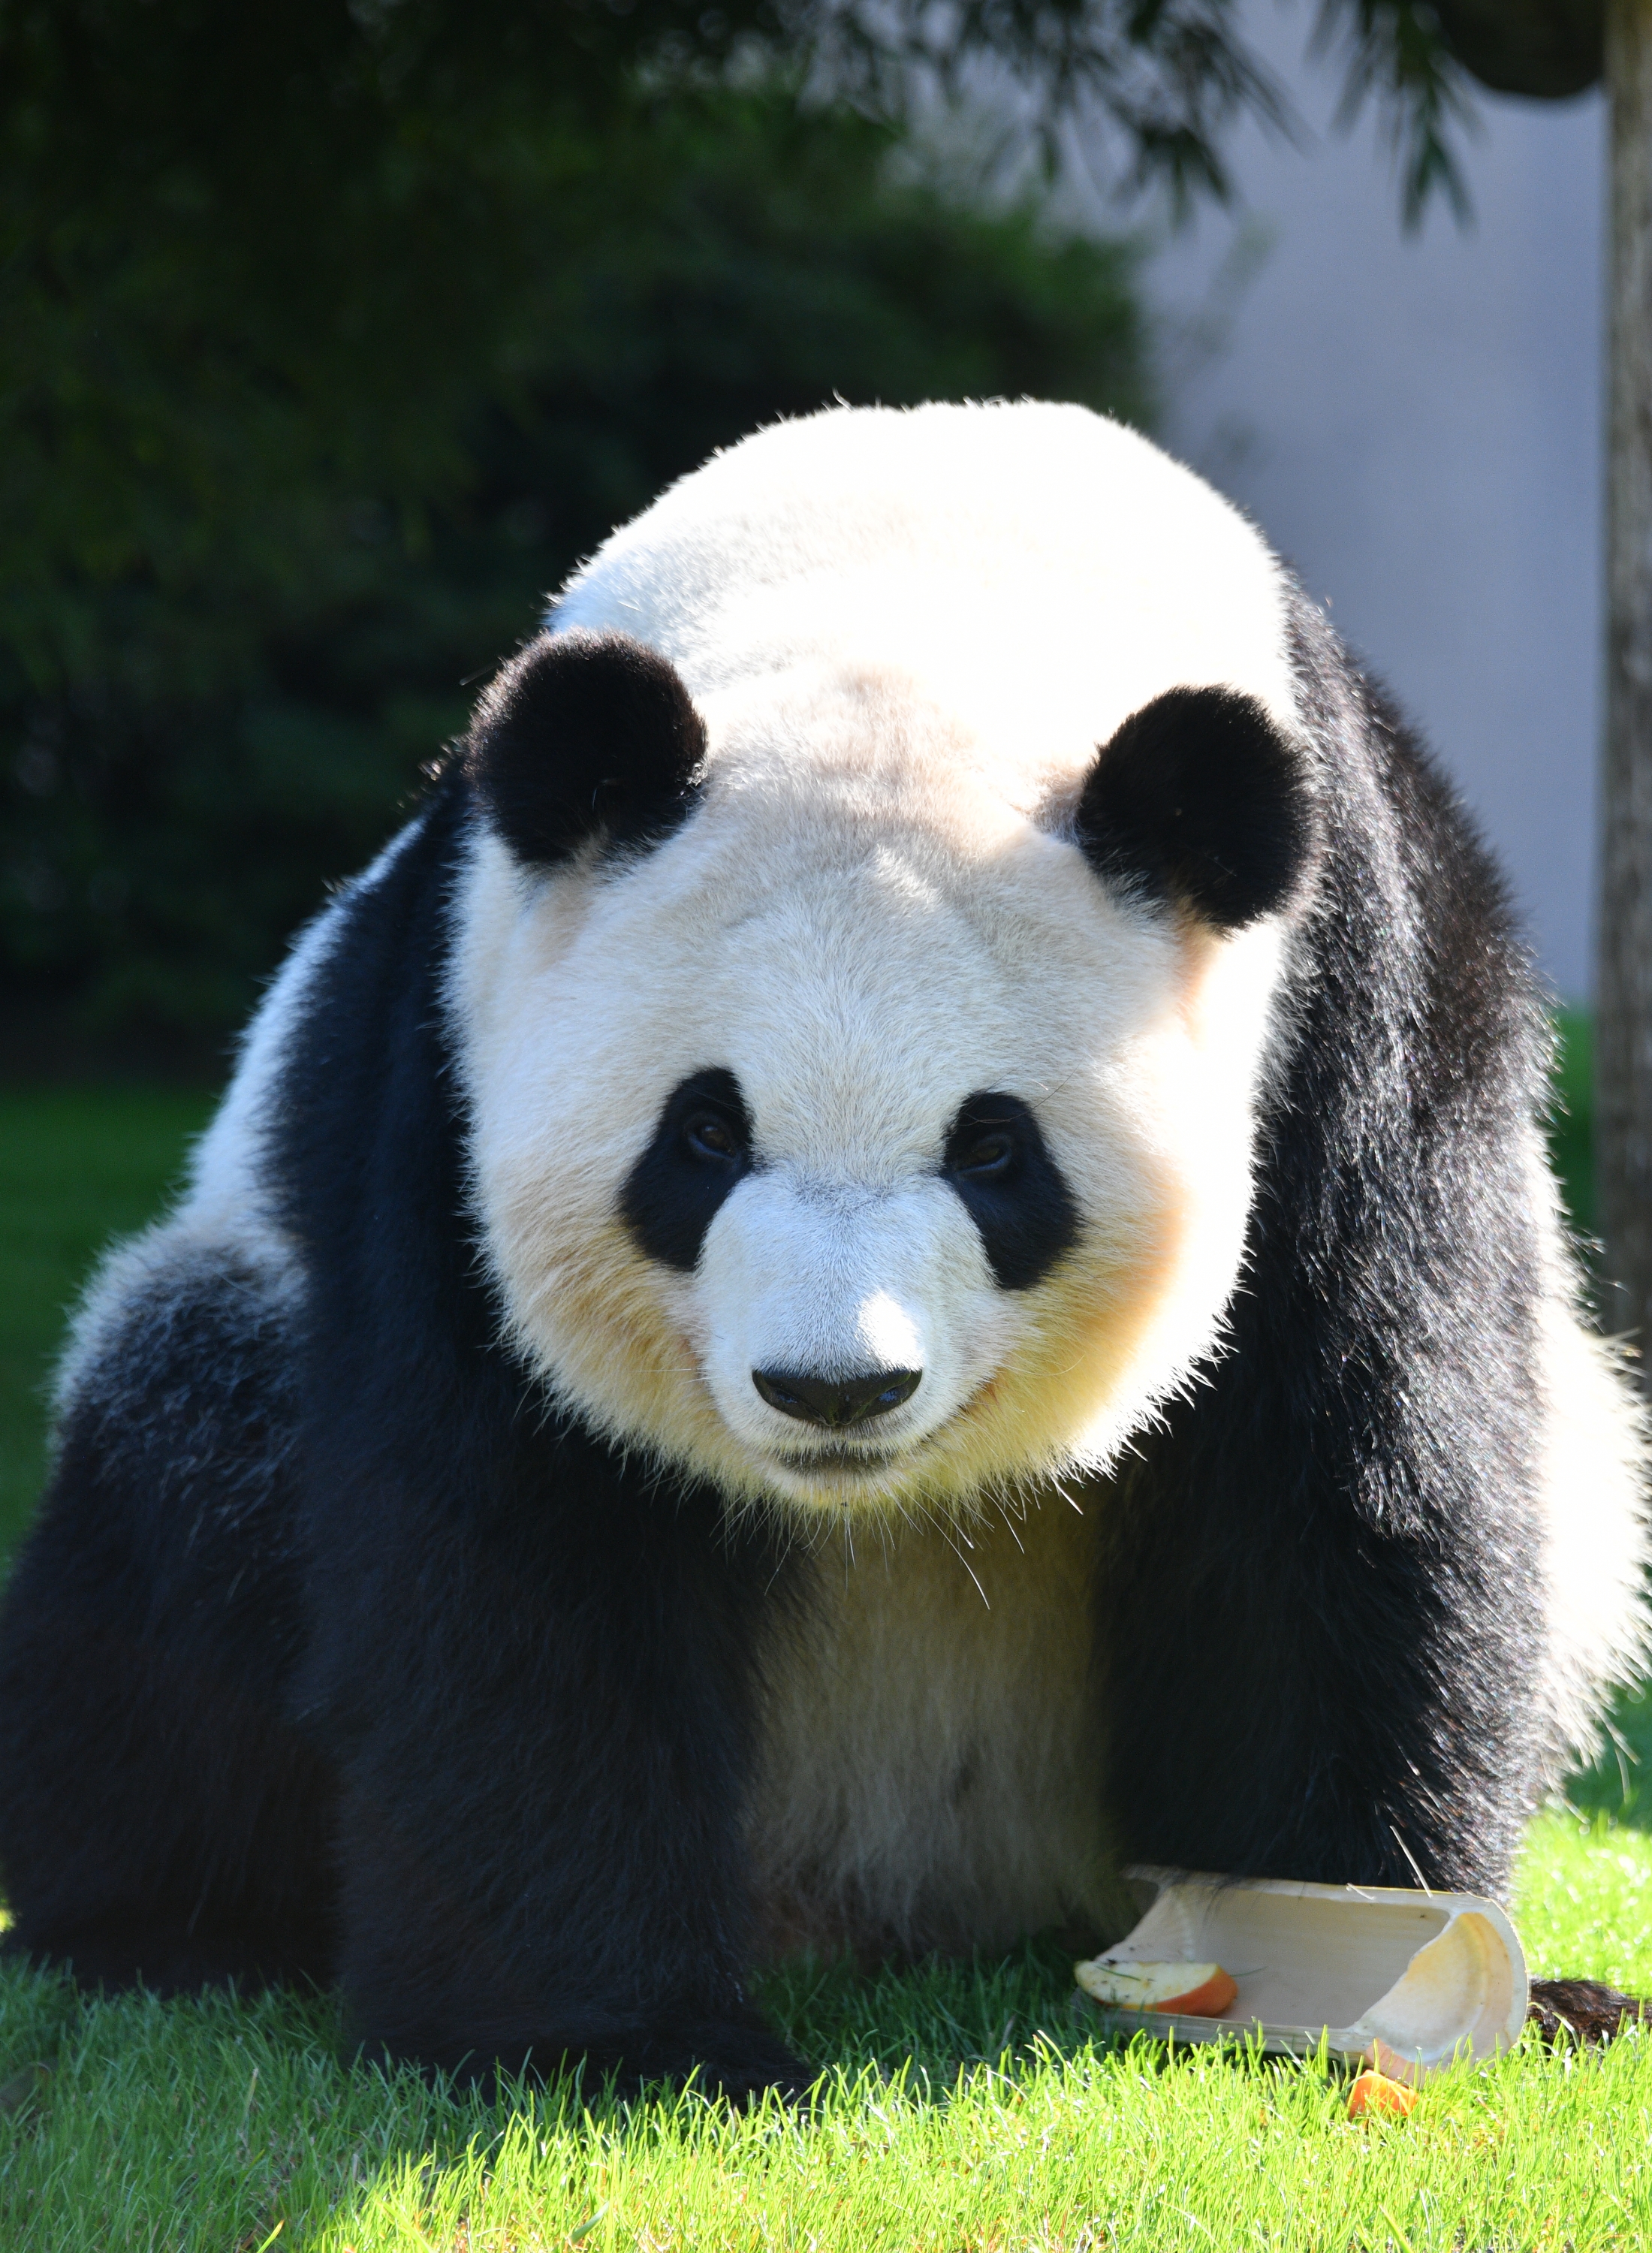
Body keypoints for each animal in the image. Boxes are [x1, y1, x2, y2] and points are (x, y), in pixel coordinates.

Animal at [0, 400, 1644, 2097]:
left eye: (993, 1150)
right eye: (703, 1134)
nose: (833, 1390)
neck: (929, 566)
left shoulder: (1354, 995)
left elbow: (1345, 1467)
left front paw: (1344, 1959)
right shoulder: (447, 1064)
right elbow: (513, 1540)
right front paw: (621, 2040)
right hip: (234, 1333)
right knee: (177, 1493)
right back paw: (178, 1933)